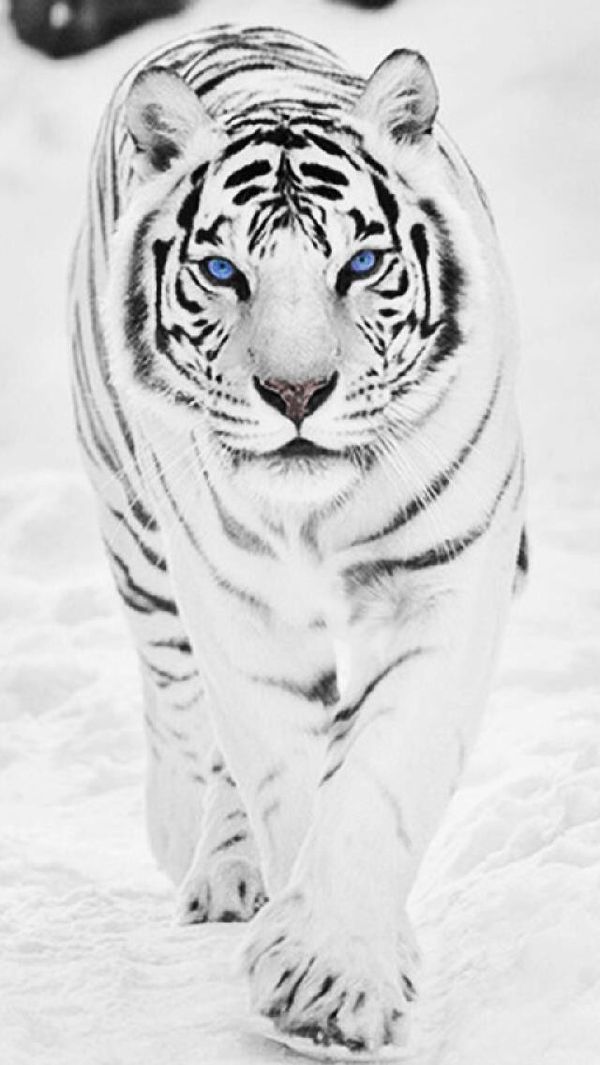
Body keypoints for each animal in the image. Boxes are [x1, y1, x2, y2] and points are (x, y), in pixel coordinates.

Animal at [69, 24, 527, 1057]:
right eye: (223, 272)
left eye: (358, 266)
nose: (296, 393)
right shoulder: (241, 607)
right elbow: (282, 767)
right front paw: (323, 969)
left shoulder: (445, 579)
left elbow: (380, 774)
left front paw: (335, 979)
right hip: (138, 535)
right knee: (179, 702)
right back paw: (198, 850)